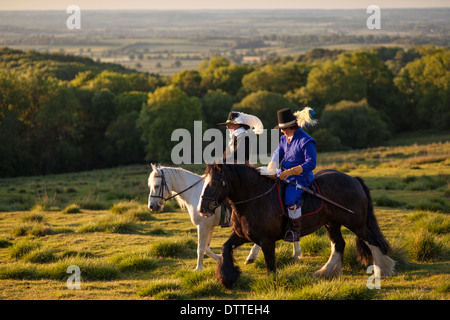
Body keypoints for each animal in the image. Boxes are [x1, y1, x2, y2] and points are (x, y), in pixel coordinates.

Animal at [199, 164, 396, 288]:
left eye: (214, 183)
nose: (202, 209)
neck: (254, 198)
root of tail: (353, 180)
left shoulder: (266, 240)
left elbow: (270, 264)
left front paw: (272, 283)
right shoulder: (243, 235)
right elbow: (225, 248)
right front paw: (227, 279)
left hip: (356, 223)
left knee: (371, 242)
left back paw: (381, 270)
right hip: (332, 223)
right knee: (339, 244)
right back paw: (326, 272)